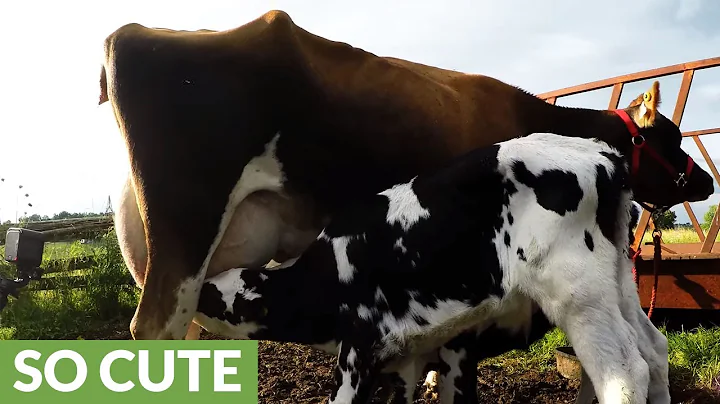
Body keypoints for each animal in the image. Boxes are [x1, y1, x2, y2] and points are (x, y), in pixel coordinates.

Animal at [191, 131, 696, 404]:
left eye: (212, 295)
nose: (190, 298)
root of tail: (603, 153)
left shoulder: (357, 350)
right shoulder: (409, 356)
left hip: (577, 292)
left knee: (623, 372)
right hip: (617, 282)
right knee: (653, 350)